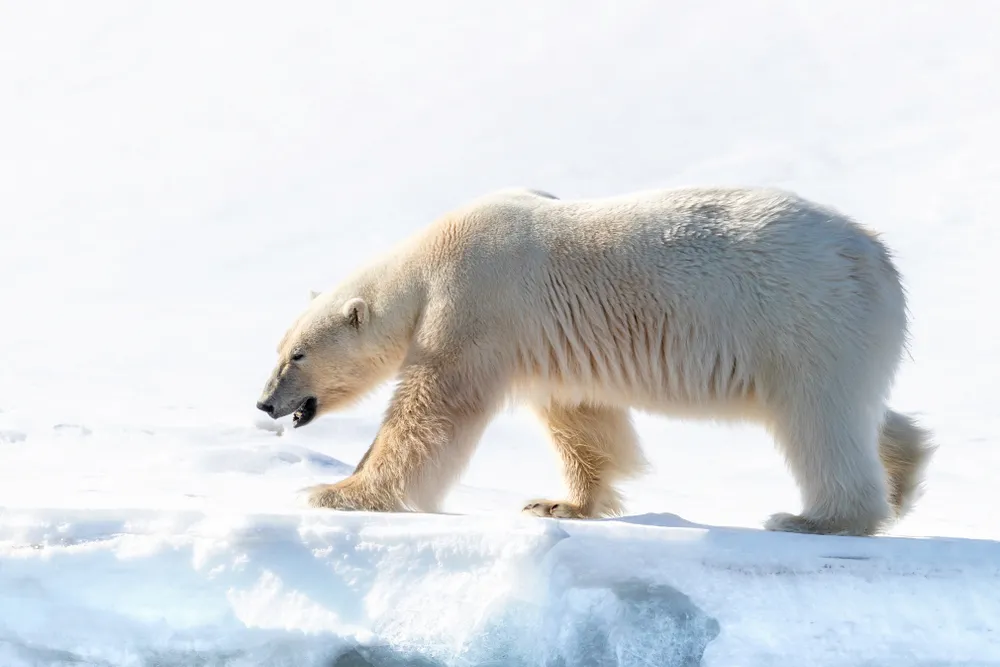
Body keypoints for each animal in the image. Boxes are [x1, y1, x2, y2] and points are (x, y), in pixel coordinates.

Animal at [256, 185, 936, 537]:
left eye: (297, 354)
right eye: (279, 349)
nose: (265, 402)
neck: (427, 263)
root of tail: (875, 255)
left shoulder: (477, 300)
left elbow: (431, 409)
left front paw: (335, 492)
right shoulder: (546, 338)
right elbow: (582, 416)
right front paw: (560, 505)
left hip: (802, 318)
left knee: (819, 420)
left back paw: (816, 519)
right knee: (861, 409)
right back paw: (904, 471)